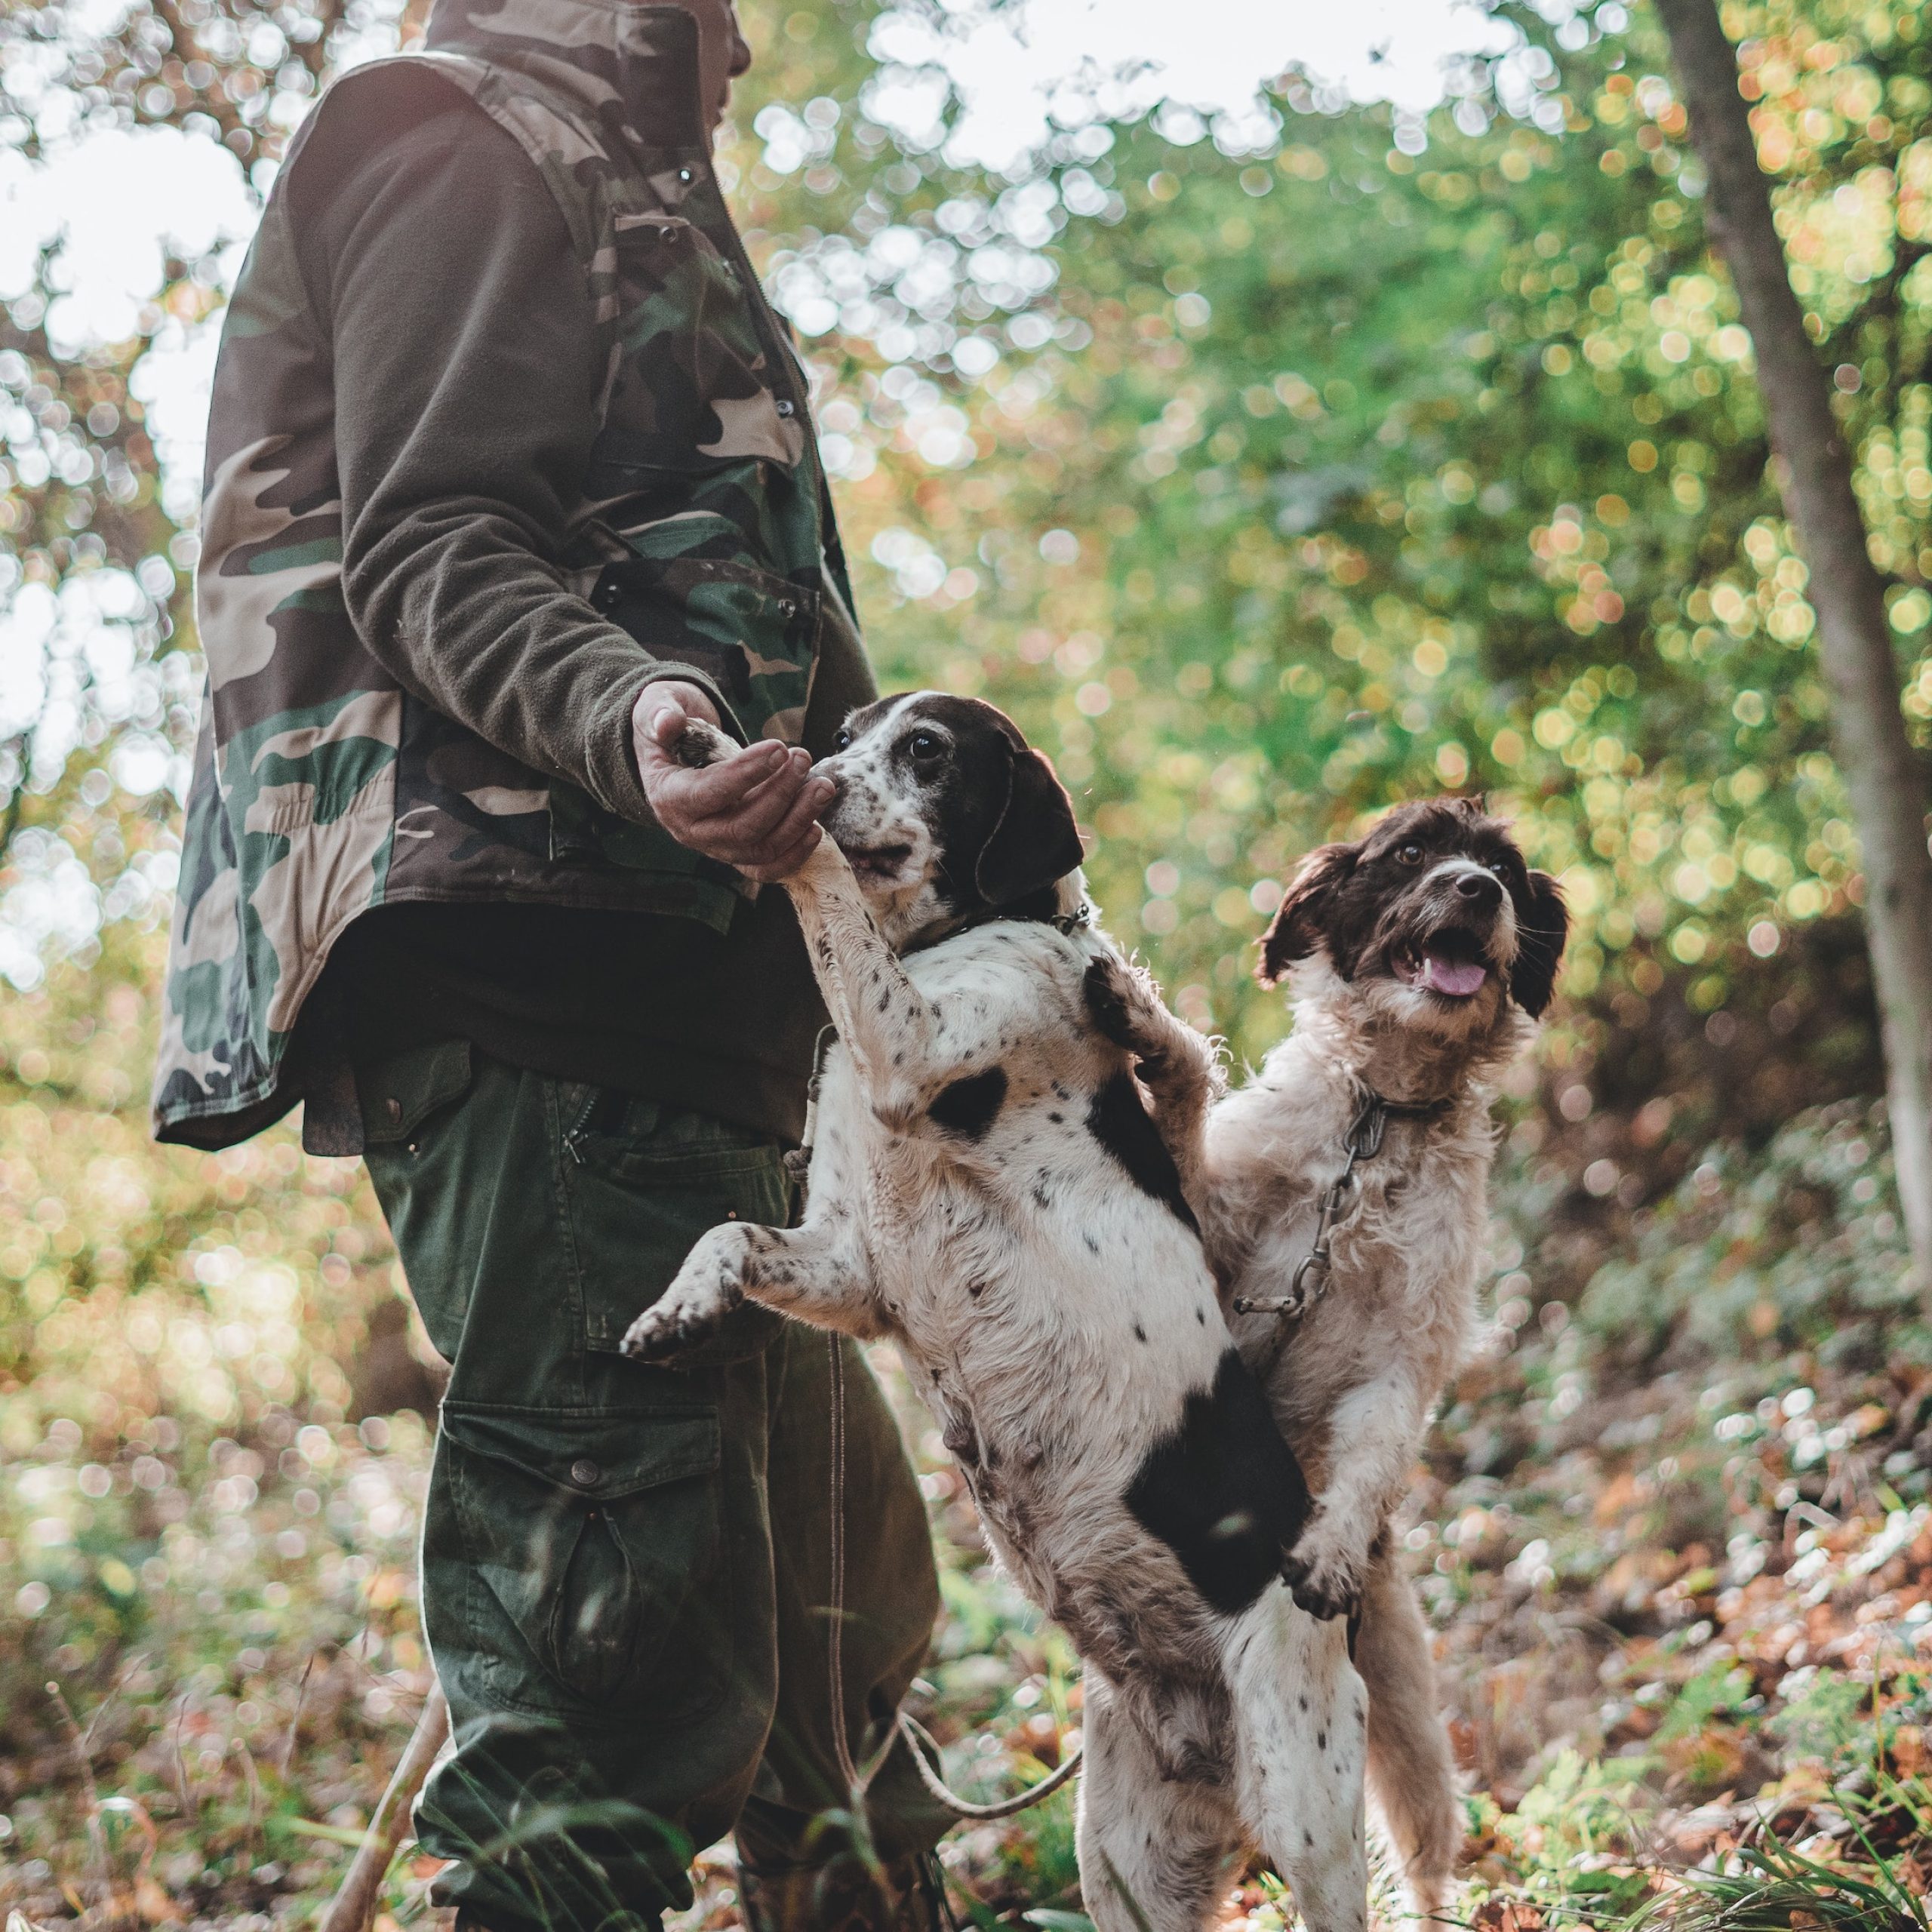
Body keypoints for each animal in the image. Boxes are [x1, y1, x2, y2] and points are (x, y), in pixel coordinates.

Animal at [626, 695, 1367, 1932]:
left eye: (926, 751)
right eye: (847, 729)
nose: (814, 765)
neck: (956, 937)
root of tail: (1198, 1737)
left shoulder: (912, 1042)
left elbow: (819, 870)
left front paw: (752, 788)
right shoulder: (849, 1264)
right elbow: (726, 1236)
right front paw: (680, 1310)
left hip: (1304, 1804)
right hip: (1122, 1859)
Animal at [1205, 795, 1568, 1916]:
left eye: (1506, 869)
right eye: (1411, 852)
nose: (1476, 890)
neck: (1377, 1126)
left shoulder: (1403, 1361)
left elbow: (1369, 1454)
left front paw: (1327, 1547)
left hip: (1406, 1731)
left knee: (1426, 1860)